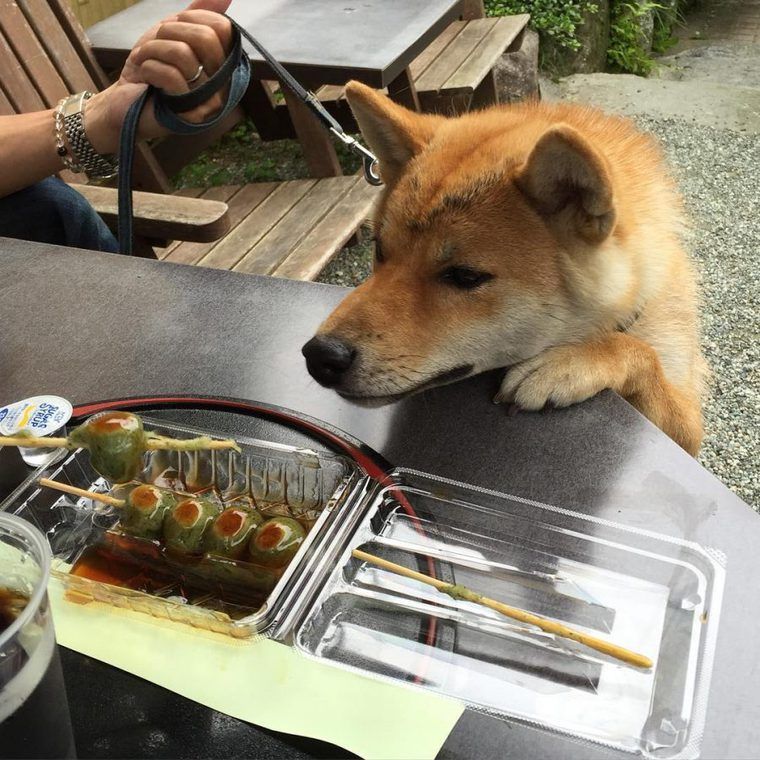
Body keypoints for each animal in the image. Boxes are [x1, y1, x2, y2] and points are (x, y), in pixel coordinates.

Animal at [300, 81, 704, 454]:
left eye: (465, 276)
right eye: (381, 250)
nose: (321, 355)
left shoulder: (687, 426)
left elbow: (642, 354)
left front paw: (569, 363)